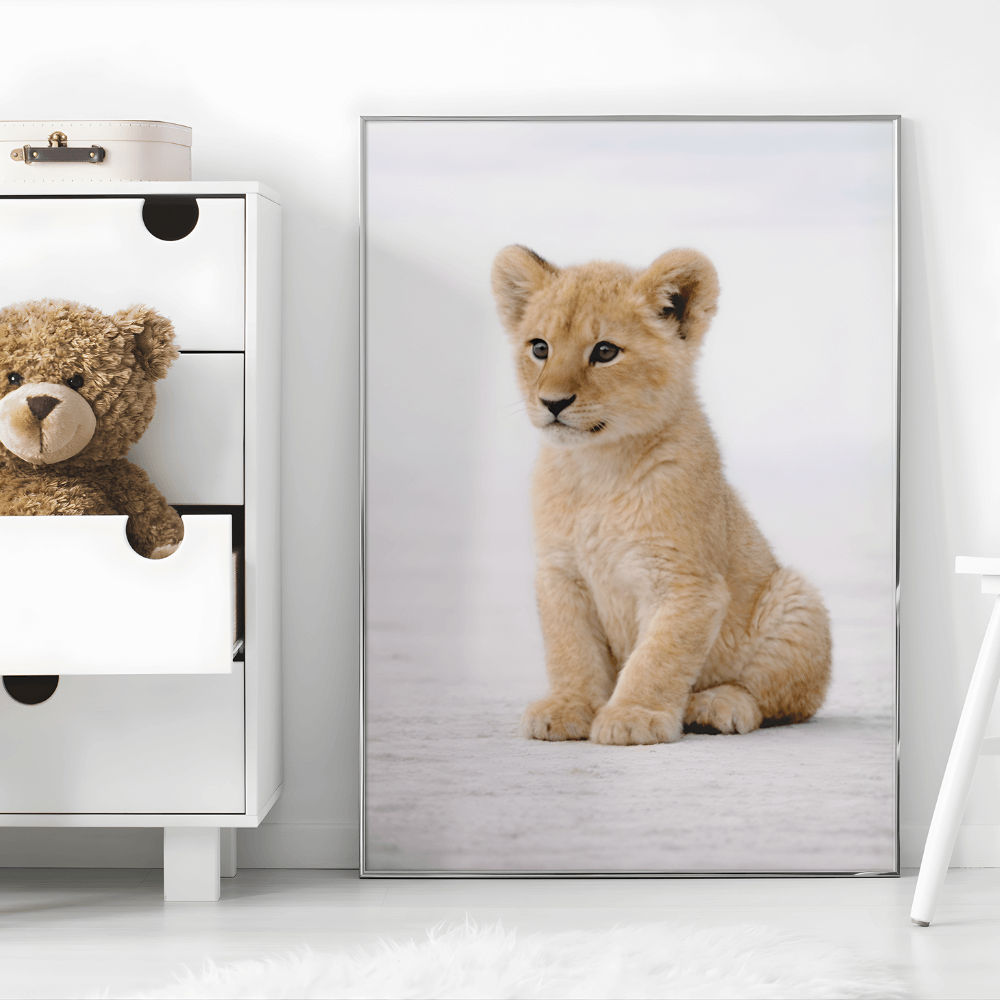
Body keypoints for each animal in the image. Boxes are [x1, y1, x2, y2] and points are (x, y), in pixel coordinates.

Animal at [490, 245, 831, 746]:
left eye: (605, 351)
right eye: (540, 348)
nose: (552, 403)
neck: (598, 467)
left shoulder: (687, 584)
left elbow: (658, 657)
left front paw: (634, 716)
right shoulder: (560, 574)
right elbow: (571, 649)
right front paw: (568, 708)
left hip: (796, 602)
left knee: (783, 699)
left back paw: (715, 706)